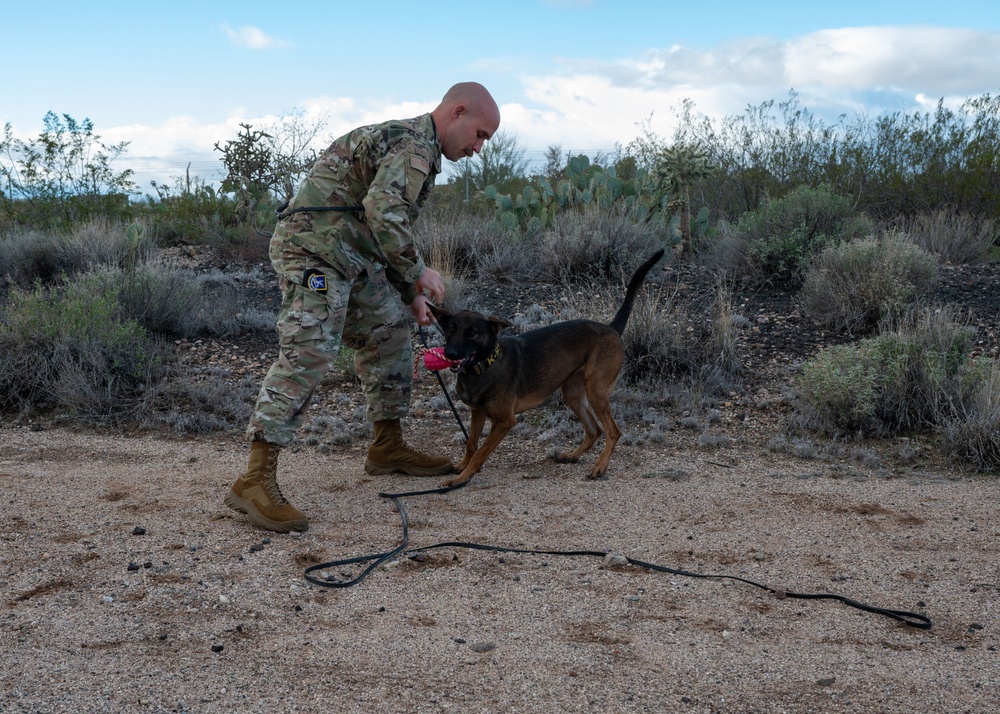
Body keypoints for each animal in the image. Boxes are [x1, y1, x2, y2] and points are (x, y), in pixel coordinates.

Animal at [430, 248, 664, 486]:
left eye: (473, 332)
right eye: (450, 328)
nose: (450, 353)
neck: (485, 366)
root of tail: (611, 328)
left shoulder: (505, 421)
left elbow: (480, 452)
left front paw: (461, 478)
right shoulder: (477, 412)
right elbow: (471, 444)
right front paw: (462, 467)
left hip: (596, 392)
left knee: (613, 432)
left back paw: (600, 466)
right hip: (572, 393)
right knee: (594, 430)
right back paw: (572, 456)